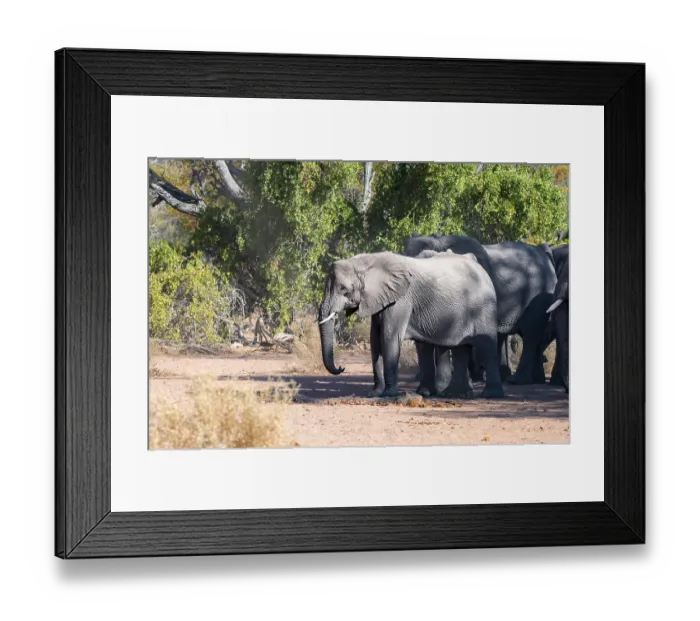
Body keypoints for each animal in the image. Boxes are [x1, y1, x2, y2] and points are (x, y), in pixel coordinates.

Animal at [318, 251, 505, 399]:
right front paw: (374, 393)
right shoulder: (381, 300)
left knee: (486, 347)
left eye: (344, 289)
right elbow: (375, 340)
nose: (342, 367)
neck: (366, 261)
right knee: (461, 349)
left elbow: (388, 337)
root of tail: (482, 269)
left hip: (484, 307)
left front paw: (389, 395)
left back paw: (490, 395)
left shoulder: (401, 300)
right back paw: (454, 395)